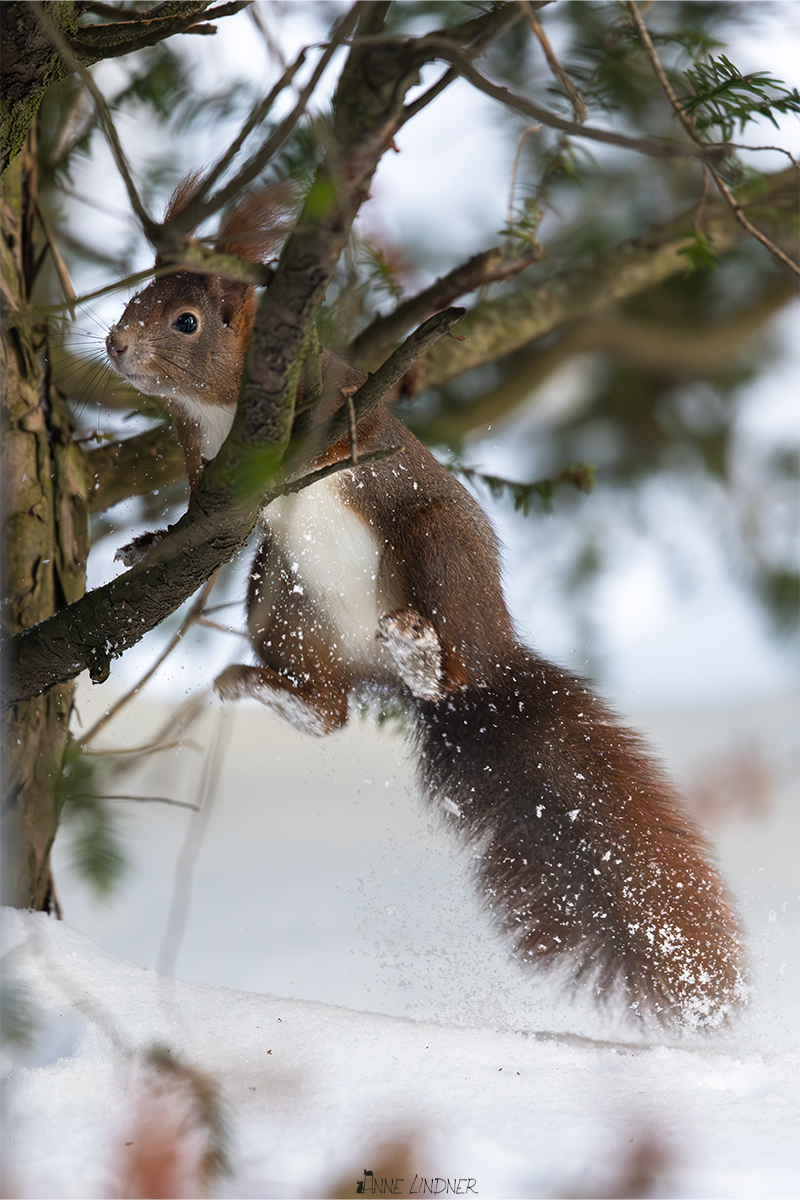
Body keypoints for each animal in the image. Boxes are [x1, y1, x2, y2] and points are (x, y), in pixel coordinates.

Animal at [106, 180, 746, 1030]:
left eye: (185, 321)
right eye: (136, 297)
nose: (114, 344)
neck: (220, 412)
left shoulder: (345, 398)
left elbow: (350, 432)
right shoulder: (200, 470)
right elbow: (187, 522)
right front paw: (146, 544)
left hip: (437, 551)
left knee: (446, 668)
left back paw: (420, 650)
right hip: (281, 602)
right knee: (330, 712)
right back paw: (267, 686)